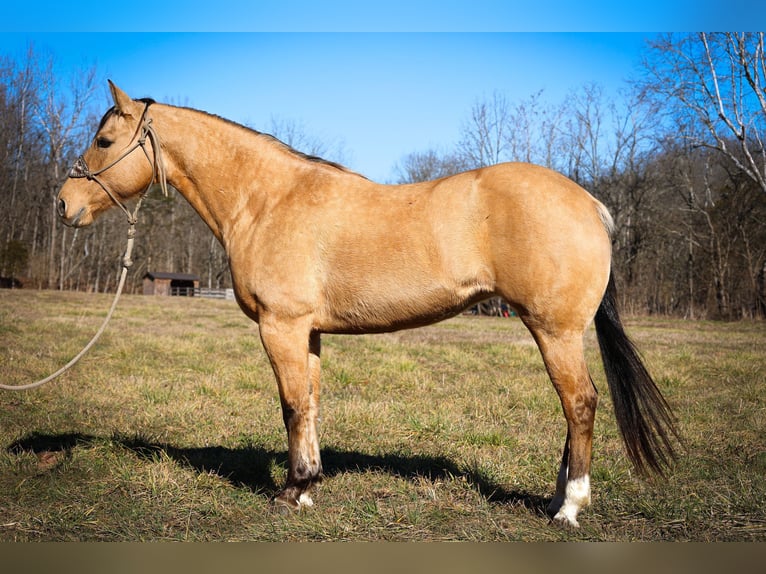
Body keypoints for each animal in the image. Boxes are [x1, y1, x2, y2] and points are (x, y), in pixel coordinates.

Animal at [57, 82, 680, 532]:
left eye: (104, 141)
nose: (64, 204)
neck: (265, 200)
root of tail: (591, 203)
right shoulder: (306, 332)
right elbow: (308, 404)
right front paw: (308, 488)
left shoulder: (280, 327)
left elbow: (291, 406)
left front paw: (290, 491)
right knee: (573, 409)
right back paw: (555, 498)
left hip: (555, 329)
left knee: (580, 403)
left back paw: (570, 507)